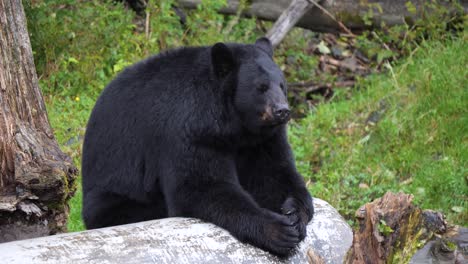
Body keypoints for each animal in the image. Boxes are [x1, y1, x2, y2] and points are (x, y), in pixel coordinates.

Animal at [81, 38, 314, 256]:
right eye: (261, 88)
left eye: (282, 86)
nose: (282, 111)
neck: (235, 126)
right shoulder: (192, 129)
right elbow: (200, 186)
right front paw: (277, 229)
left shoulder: (263, 140)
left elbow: (273, 174)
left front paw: (295, 213)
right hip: (116, 191)